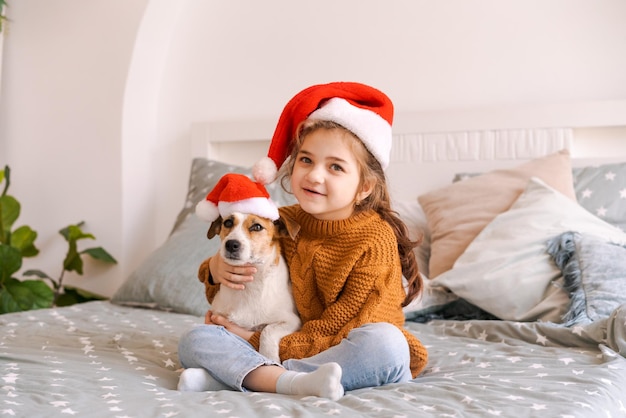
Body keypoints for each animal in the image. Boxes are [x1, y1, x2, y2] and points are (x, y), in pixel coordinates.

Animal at [201, 212, 302, 362]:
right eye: (228, 223)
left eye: (257, 227)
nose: (231, 244)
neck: (248, 286)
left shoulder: (292, 320)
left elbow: (267, 330)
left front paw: (270, 357)